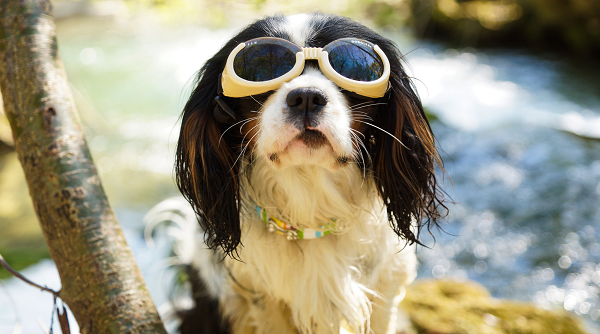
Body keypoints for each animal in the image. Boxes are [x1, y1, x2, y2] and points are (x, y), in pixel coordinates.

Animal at [169, 12, 446, 334]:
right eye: (259, 69)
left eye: (354, 68)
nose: (306, 97)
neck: (311, 206)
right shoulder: (262, 300)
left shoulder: (386, 289)